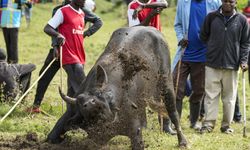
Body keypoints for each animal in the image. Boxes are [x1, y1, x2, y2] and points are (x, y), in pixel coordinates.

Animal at [47, 26, 188, 149]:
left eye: (103, 94)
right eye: (82, 104)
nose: (91, 104)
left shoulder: (135, 130)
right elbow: (52, 136)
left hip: (166, 83)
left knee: (173, 113)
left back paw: (182, 141)